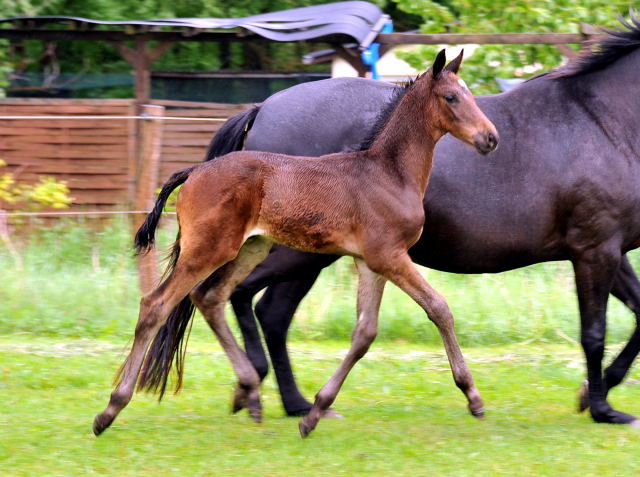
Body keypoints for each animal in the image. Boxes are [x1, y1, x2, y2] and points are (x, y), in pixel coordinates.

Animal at [92, 50, 500, 436]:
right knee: (156, 305)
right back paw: (110, 410)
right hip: (210, 248)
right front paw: (473, 397)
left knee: (210, 297)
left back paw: (250, 391)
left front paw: (314, 413)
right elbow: (439, 308)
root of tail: (194, 170)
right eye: (451, 97)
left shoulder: (369, 262)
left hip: (250, 248)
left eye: (469, 94)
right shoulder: (390, 256)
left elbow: (364, 333)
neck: (388, 173)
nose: (490, 138)